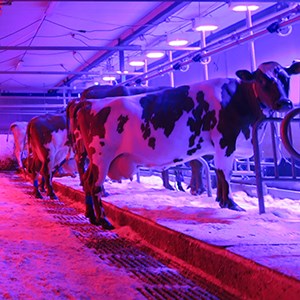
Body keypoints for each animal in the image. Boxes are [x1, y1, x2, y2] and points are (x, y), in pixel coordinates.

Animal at [75, 62, 300, 229]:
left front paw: (220, 200)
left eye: (286, 78)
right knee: (94, 183)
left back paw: (91, 216)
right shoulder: (226, 141)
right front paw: (231, 205)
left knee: (86, 180)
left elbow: (216, 172)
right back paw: (103, 220)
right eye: (262, 80)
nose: (284, 103)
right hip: (101, 156)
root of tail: (87, 103)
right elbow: (224, 172)